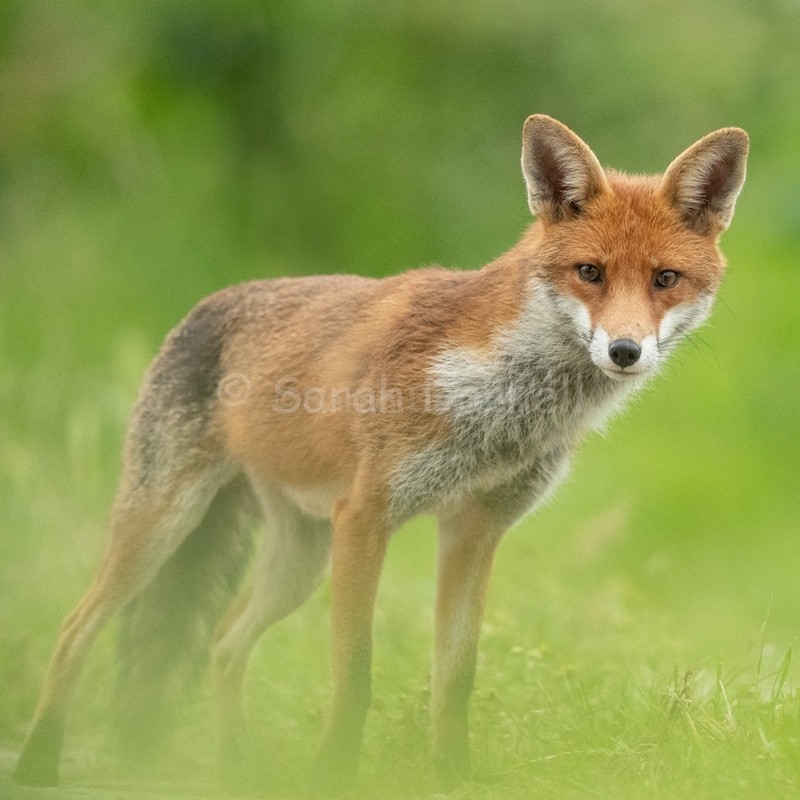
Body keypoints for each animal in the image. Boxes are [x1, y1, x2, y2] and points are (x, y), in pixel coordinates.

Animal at [14, 115, 748, 791]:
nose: (625, 351)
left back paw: (235, 770)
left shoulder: (475, 529)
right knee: (75, 628)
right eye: (589, 272)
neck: (499, 401)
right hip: (164, 525)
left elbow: (454, 678)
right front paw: (333, 776)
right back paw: (38, 760)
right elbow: (356, 676)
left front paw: (453, 777)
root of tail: (209, 302)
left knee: (222, 643)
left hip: (298, 559)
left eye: (665, 278)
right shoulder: (366, 517)